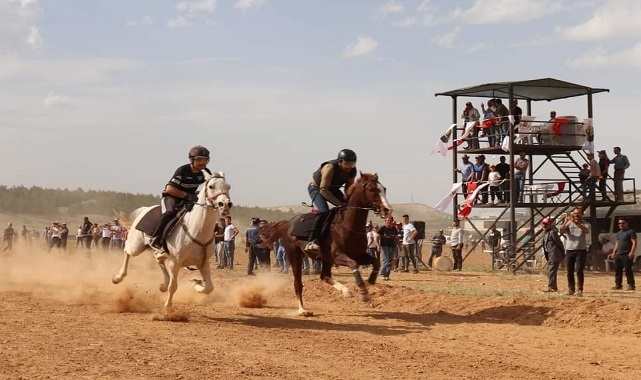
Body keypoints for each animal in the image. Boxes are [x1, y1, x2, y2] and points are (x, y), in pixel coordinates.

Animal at [112, 171, 232, 310]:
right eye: (211, 186)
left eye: (228, 187)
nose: (225, 205)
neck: (197, 229)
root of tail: (145, 210)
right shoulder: (176, 262)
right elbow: (173, 286)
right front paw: (168, 306)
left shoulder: (203, 263)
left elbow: (209, 288)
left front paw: (196, 284)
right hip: (136, 246)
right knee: (127, 252)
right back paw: (118, 278)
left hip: (160, 251)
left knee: (158, 259)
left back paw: (163, 284)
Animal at [264, 174, 390, 316]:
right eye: (372, 189)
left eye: (384, 189)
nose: (387, 209)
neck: (348, 226)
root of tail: (288, 224)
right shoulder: (337, 256)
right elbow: (353, 264)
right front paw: (363, 293)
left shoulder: (358, 255)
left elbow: (376, 262)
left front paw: (368, 283)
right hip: (295, 256)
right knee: (298, 283)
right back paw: (302, 310)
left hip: (325, 259)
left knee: (324, 276)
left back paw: (346, 291)